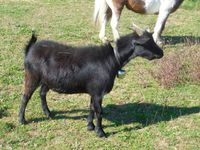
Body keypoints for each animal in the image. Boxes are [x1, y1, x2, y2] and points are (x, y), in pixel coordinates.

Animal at [18, 29, 162, 137]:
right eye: (146, 42)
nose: (161, 52)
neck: (112, 59)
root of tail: (31, 48)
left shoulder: (94, 91)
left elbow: (92, 107)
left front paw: (90, 126)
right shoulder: (98, 92)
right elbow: (99, 111)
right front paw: (100, 132)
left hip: (46, 80)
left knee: (42, 93)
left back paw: (48, 113)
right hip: (32, 76)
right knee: (25, 97)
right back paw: (22, 120)